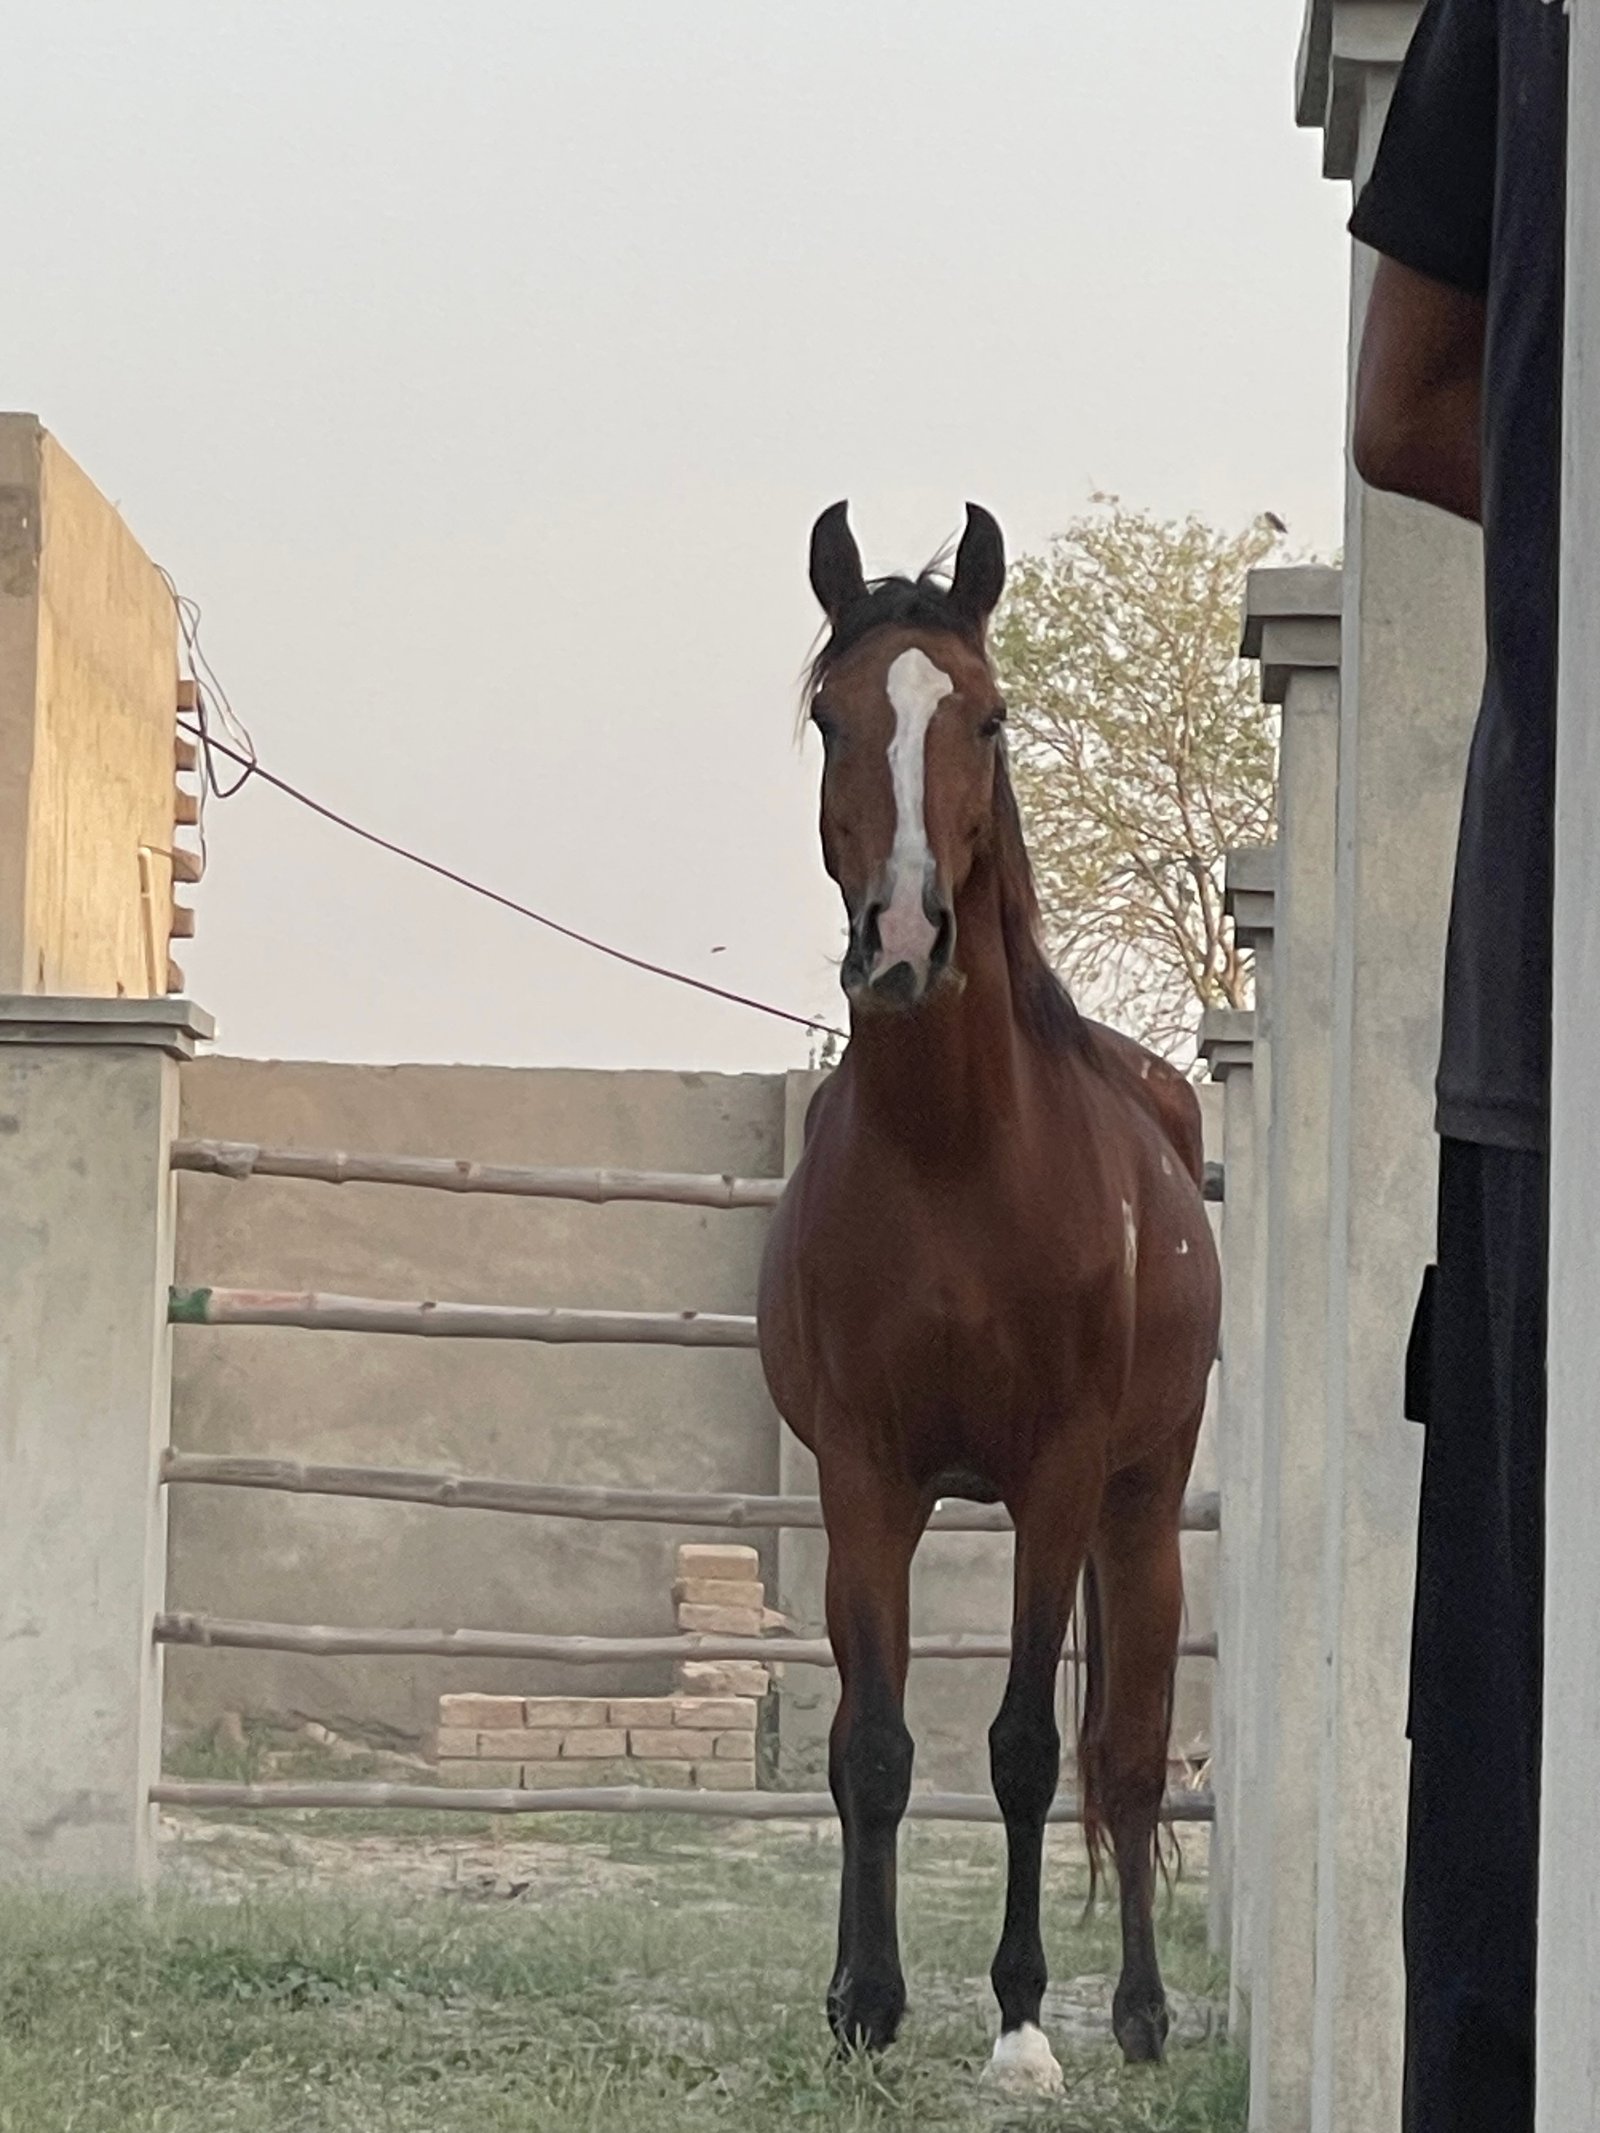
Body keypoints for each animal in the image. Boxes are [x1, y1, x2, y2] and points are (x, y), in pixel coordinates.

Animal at [757, 501, 1222, 2092]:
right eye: (827, 716)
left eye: (988, 716)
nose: (903, 943)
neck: (956, 1156)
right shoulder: (863, 1477)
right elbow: (873, 1746)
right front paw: (862, 2001)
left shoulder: (1056, 1477)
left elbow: (1026, 1745)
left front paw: (1020, 2025)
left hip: (1141, 1512)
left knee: (1128, 1757)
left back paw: (1137, 2013)